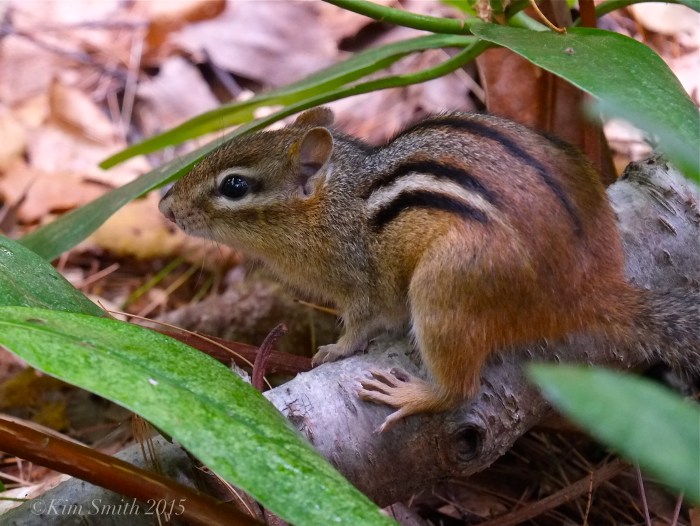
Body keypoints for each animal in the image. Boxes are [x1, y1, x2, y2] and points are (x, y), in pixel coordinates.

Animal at [159, 107, 699, 431]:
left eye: (233, 186)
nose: (165, 205)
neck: (335, 204)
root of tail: (589, 288)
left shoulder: (358, 281)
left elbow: (359, 323)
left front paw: (335, 349)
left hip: (445, 288)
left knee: (461, 389)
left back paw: (413, 395)